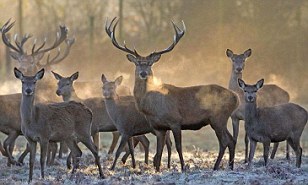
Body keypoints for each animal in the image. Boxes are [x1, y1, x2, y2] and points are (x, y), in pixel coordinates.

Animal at [106, 18, 238, 171]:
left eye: (150, 64)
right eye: (137, 63)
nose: (143, 73)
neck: (152, 107)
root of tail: (236, 97)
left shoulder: (175, 121)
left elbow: (179, 147)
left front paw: (183, 167)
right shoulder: (159, 127)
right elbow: (159, 151)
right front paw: (157, 169)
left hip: (218, 118)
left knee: (225, 141)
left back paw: (217, 166)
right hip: (219, 119)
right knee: (231, 140)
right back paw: (230, 166)